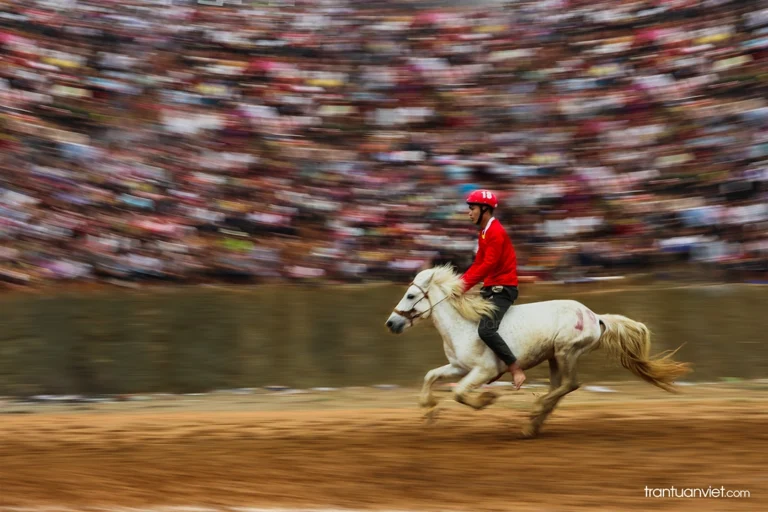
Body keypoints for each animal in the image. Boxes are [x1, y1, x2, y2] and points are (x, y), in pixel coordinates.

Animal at [384, 265, 691, 437]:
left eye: (411, 295)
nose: (391, 323)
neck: (464, 324)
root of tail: (595, 317)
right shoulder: (459, 367)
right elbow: (430, 376)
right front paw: (428, 411)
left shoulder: (484, 371)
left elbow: (459, 393)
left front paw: (487, 399)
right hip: (555, 356)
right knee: (559, 387)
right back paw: (533, 424)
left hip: (567, 351)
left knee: (570, 384)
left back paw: (534, 412)